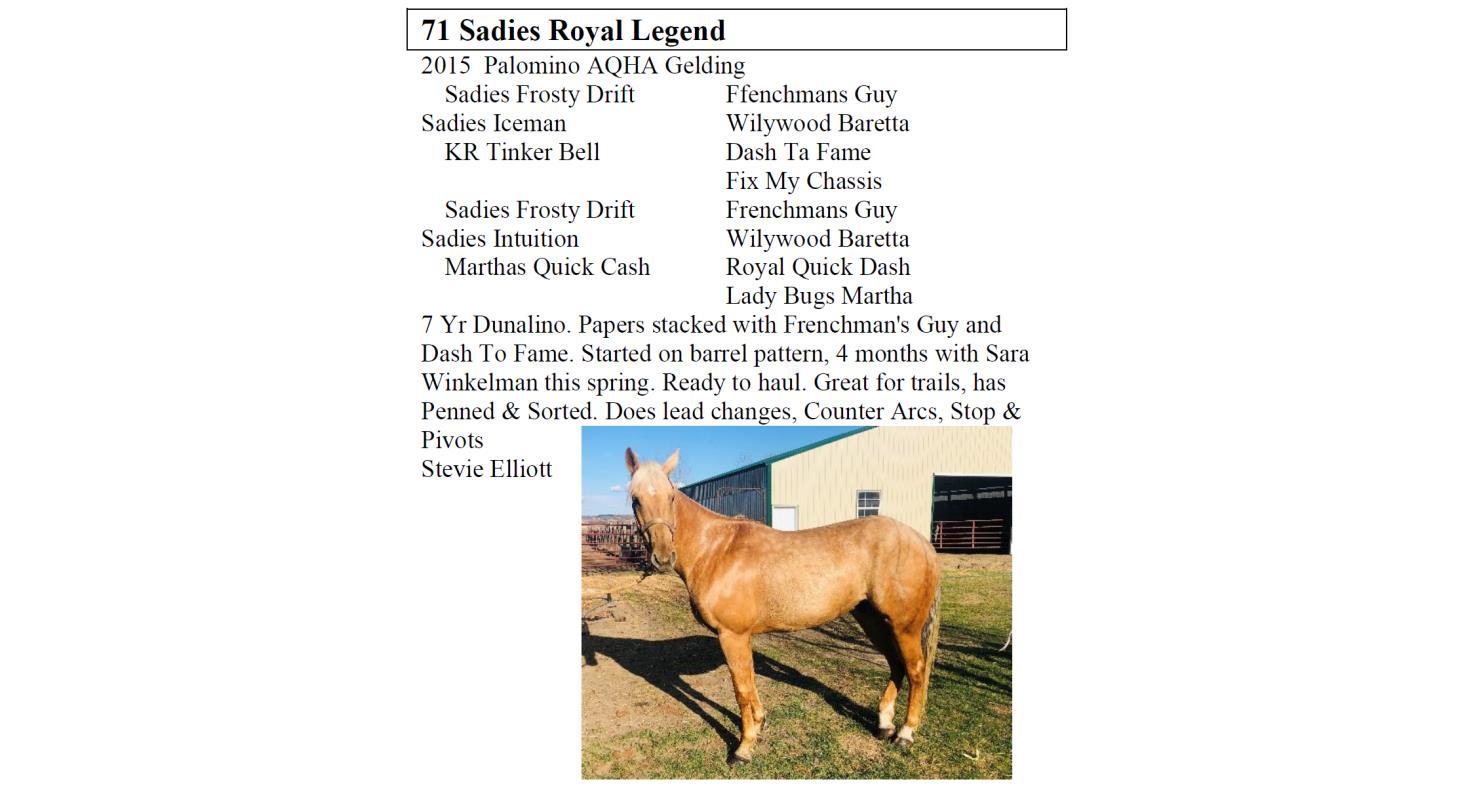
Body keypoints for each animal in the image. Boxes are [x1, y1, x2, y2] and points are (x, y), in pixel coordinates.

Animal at [624, 448, 943, 764]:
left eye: (671, 496)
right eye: (635, 498)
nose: (663, 556)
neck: (715, 550)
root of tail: (921, 541)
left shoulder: (732, 636)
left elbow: (741, 689)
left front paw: (744, 747)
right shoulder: (741, 638)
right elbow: (750, 683)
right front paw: (759, 725)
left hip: (904, 626)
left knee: (915, 670)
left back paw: (905, 734)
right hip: (873, 619)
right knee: (896, 664)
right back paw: (884, 724)